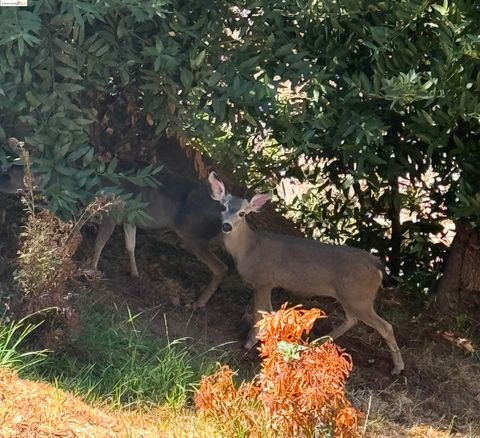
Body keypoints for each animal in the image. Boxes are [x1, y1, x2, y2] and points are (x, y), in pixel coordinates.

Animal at [0, 163, 227, 310]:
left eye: (9, 176)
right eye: (5, 171)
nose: (1, 185)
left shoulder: (110, 214)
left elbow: (98, 242)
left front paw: (90, 269)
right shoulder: (128, 219)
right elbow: (130, 244)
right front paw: (135, 273)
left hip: (194, 234)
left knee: (221, 267)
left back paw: (199, 302)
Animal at [207, 171, 404, 372]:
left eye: (242, 213)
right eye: (223, 207)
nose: (227, 226)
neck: (250, 248)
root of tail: (377, 265)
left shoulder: (263, 280)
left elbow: (259, 313)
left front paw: (249, 343)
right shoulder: (265, 283)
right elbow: (270, 312)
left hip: (358, 296)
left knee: (384, 326)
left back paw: (398, 367)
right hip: (351, 296)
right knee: (352, 319)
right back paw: (316, 343)